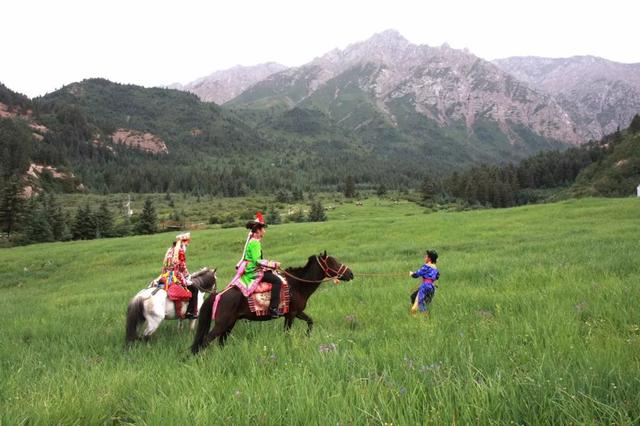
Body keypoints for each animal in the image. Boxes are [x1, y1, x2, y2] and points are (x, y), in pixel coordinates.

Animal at [191, 251, 356, 354]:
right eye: (333, 263)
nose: (350, 274)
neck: (297, 285)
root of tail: (219, 294)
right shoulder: (291, 315)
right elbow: (287, 333)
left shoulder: (297, 312)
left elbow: (310, 321)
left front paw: (307, 336)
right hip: (222, 324)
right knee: (205, 341)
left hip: (230, 323)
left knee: (221, 342)